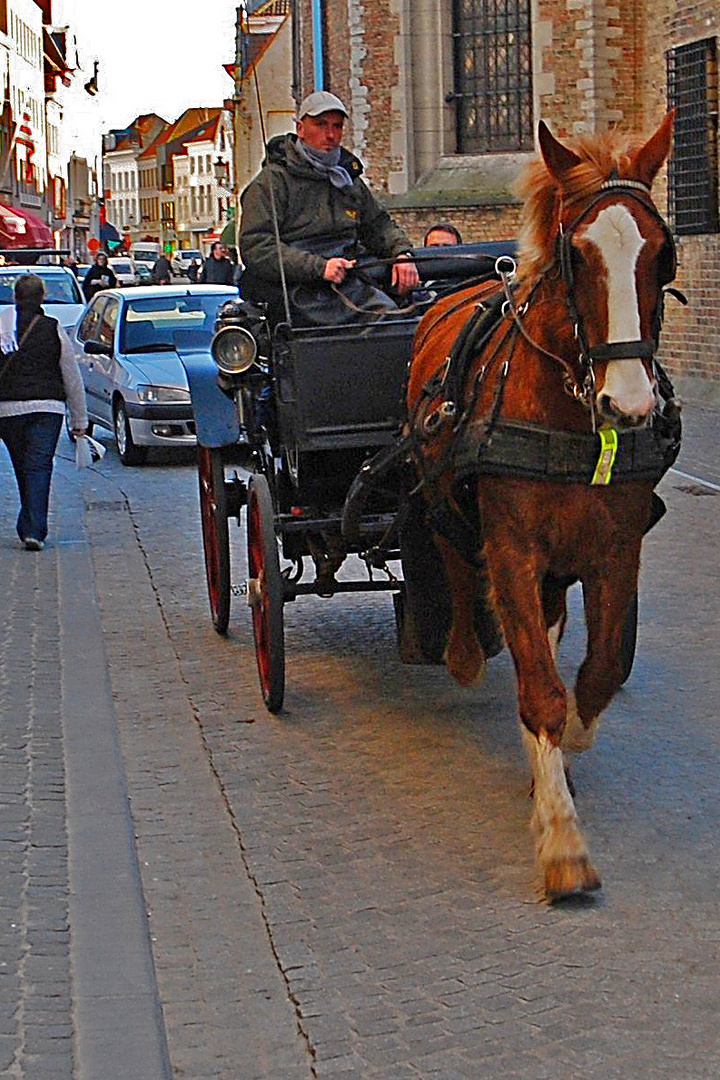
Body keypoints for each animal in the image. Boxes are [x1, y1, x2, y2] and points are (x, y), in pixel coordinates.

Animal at [408, 113, 677, 898]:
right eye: (577, 257)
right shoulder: (513, 549)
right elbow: (540, 685)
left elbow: (598, 672)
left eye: (661, 257)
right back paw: (465, 653)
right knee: (458, 571)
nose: (631, 404)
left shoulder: (616, 549)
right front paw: (561, 840)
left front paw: (567, 750)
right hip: (446, 506)